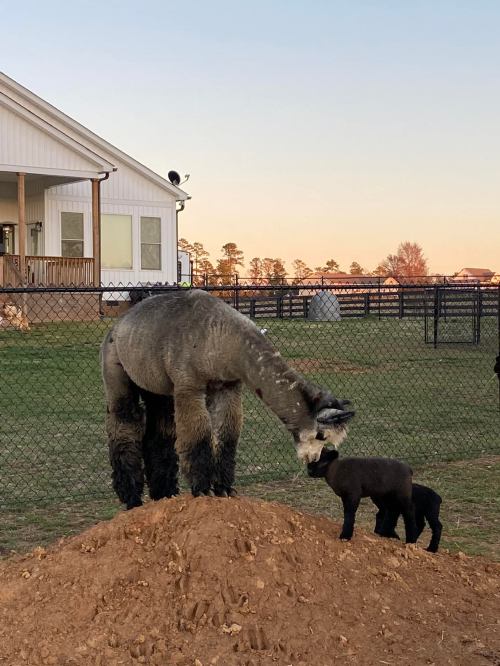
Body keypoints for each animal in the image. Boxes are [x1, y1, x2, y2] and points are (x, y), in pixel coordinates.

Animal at [101, 289, 354, 509]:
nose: (313, 460)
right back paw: (132, 498)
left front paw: (224, 488)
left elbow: (227, 436)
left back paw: (164, 494)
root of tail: (118, 325)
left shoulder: (228, 387)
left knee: (158, 434)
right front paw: (202, 488)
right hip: (117, 372)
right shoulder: (188, 387)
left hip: (158, 388)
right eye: (321, 435)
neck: (219, 338)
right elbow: (198, 435)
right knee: (124, 426)